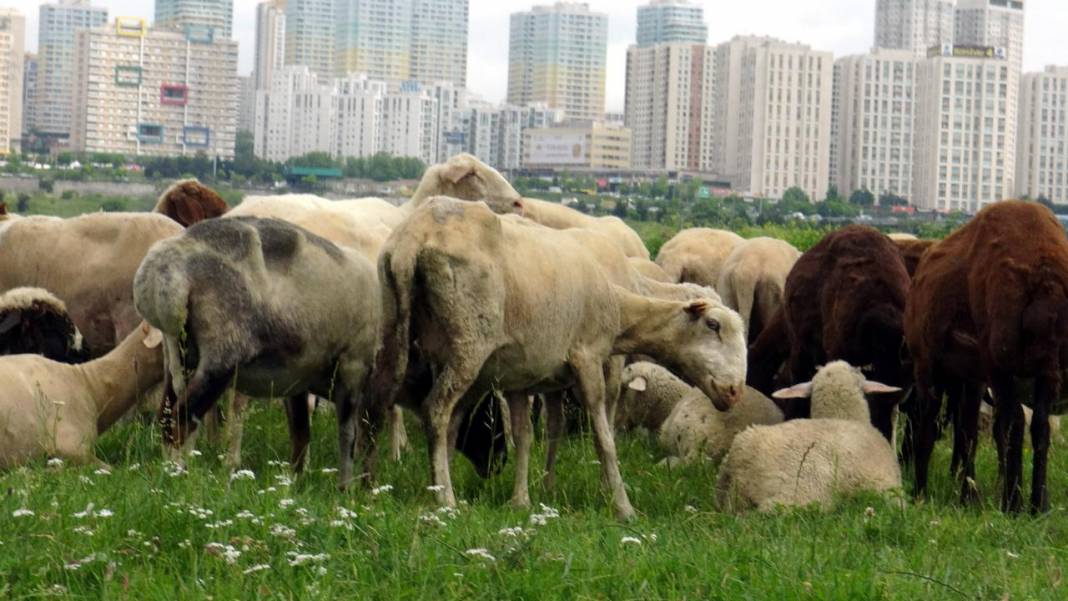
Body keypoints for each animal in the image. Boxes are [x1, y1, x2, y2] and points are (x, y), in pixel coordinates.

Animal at [135, 216, 382, 488]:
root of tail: (163, 272)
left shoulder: (297, 378)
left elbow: (301, 433)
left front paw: (295, 482)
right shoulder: (353, 365)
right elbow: (347, 435)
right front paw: (345, 488)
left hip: (177, 355)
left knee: (166, 418)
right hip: (220, 356)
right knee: (181, 422)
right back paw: (178, 479)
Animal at [905, 200, 1068, 512]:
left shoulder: (1035, 372)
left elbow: (1036, 428)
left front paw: (1036, 504)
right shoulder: (997, 368)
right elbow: (1013, 425)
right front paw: (1014, 502)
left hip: (970, 375)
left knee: (971, 429)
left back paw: (975, 495)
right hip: (934, 366)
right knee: (933, 424)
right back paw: (924, 489)